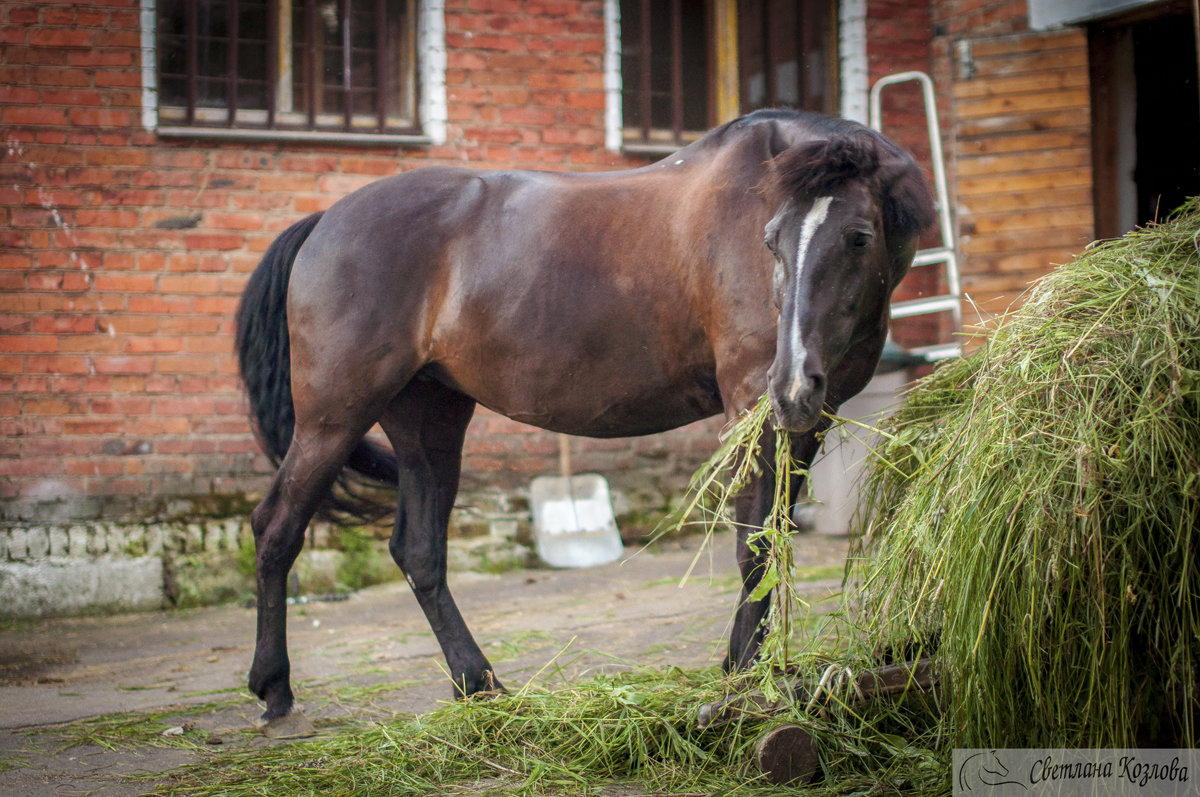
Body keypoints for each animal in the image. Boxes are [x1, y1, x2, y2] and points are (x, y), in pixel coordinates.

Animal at [231, 109, 926, 724]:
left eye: (859, 236)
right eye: (770, 240)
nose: (793, 381)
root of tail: (325, 222)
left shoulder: (811, 419)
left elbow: (778, 539)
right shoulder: (751, 409)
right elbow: (753, 544)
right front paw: (744, 677)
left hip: (429, 419)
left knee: (419, 551)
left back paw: (478, 684)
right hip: (333, 418)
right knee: (276, 529)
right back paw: (275, 689)